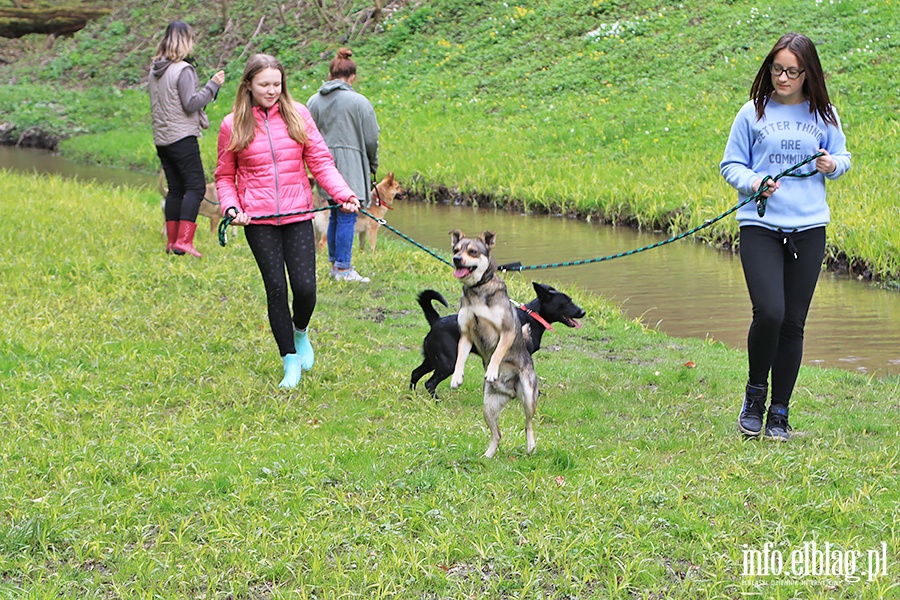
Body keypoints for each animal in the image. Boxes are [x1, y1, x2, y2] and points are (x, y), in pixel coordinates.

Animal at [412, 282, 588, 398]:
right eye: (567, 302)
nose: (583, 311)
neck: (533, 317)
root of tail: (436, 320)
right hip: (447, 363)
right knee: (429, 383)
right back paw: (436, 401)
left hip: (432, 360)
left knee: (415, 373)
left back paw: (412, 395)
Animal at [446, 230, 536, 460]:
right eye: (455, 250)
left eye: (472, 252)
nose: (456, 259)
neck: (478, 290)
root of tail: (511, 392)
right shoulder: (466, 334)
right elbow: (459, 358)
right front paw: (456, 377)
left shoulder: (506, 332)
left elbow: (497, 354)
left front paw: (492, 371)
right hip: (488, 407)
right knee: (498, 433)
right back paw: (489, 454)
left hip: (529, 396)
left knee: (528, 424)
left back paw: (531, 446)